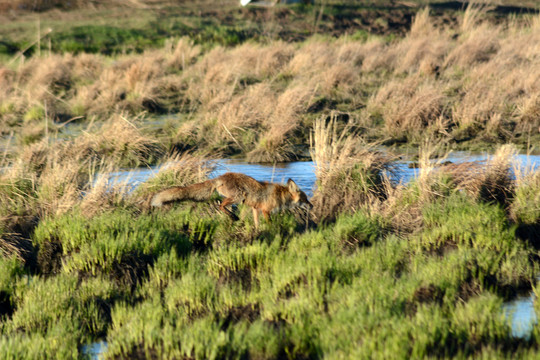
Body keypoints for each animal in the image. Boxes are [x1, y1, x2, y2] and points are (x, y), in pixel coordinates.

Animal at [151, 172, 312, 228]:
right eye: (305, 199)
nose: (311, 205)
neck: (280, 195)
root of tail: (220, 177)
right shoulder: (265, 210)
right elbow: (270, 223)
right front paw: (272, 230)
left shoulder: (256, 208)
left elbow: (256, 223)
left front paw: (258, 231)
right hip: (239, 196)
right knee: (220, 205)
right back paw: (233, 217)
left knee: (220, 205)